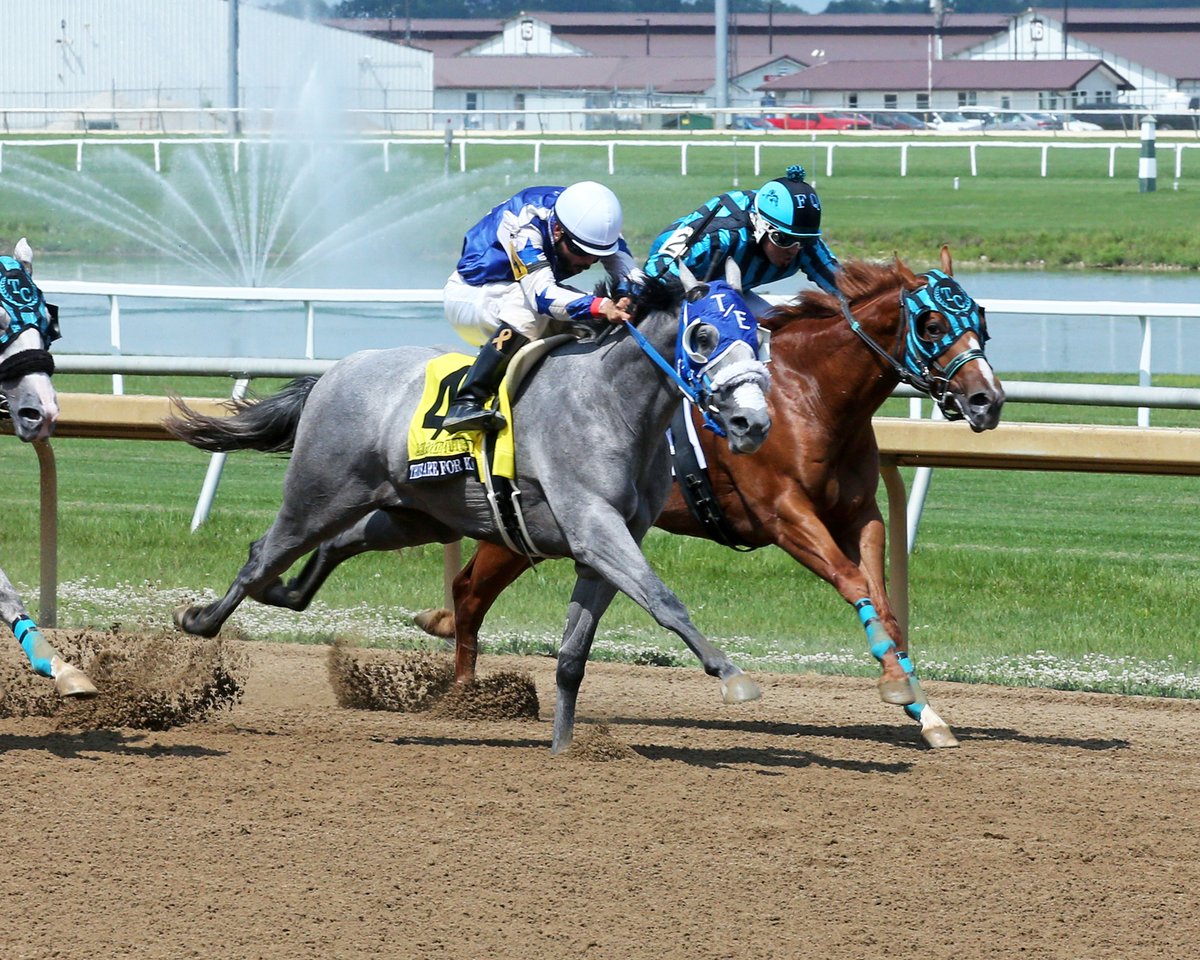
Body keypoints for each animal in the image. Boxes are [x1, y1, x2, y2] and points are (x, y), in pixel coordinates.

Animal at [167, 267, 773, 753]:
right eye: (703, 335)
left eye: (759, 337)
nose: (753, 423)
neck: (611, 404)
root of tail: (333, 374)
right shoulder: (593, 526)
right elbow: (665, 601)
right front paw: (732, 676)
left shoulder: (607, 543)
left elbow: (573, 655)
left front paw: (564, 748)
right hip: (317, 494)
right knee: (261, 556)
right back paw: (199, 620)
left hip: (409, 515)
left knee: (331, 546)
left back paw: (282, 594)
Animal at [415, 248, 1004, 748]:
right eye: (932, 324)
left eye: (979, 318)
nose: (988, 400)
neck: (810, 395)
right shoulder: (785, 515)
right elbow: (852, 582)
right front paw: (896, 686)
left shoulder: (860, 515)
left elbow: (885, 604)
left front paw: (925, 712)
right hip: (527, 525)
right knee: (469, 592)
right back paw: (463, 698)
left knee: (468, 590)